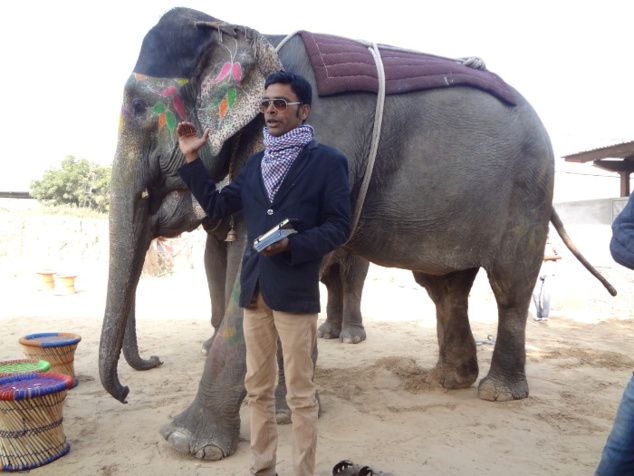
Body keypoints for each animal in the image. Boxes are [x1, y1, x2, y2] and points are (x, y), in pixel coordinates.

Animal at [99, 6, 612, 462]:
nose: (131, 384)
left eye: (140, 107)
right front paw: (287, 415)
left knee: (509, 286)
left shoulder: (325, 137)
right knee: (445, 288)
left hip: (527, 195)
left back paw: (497, 393)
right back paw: (449, 380)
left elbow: (258, 267)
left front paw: (185, 443)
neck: (252, 31)